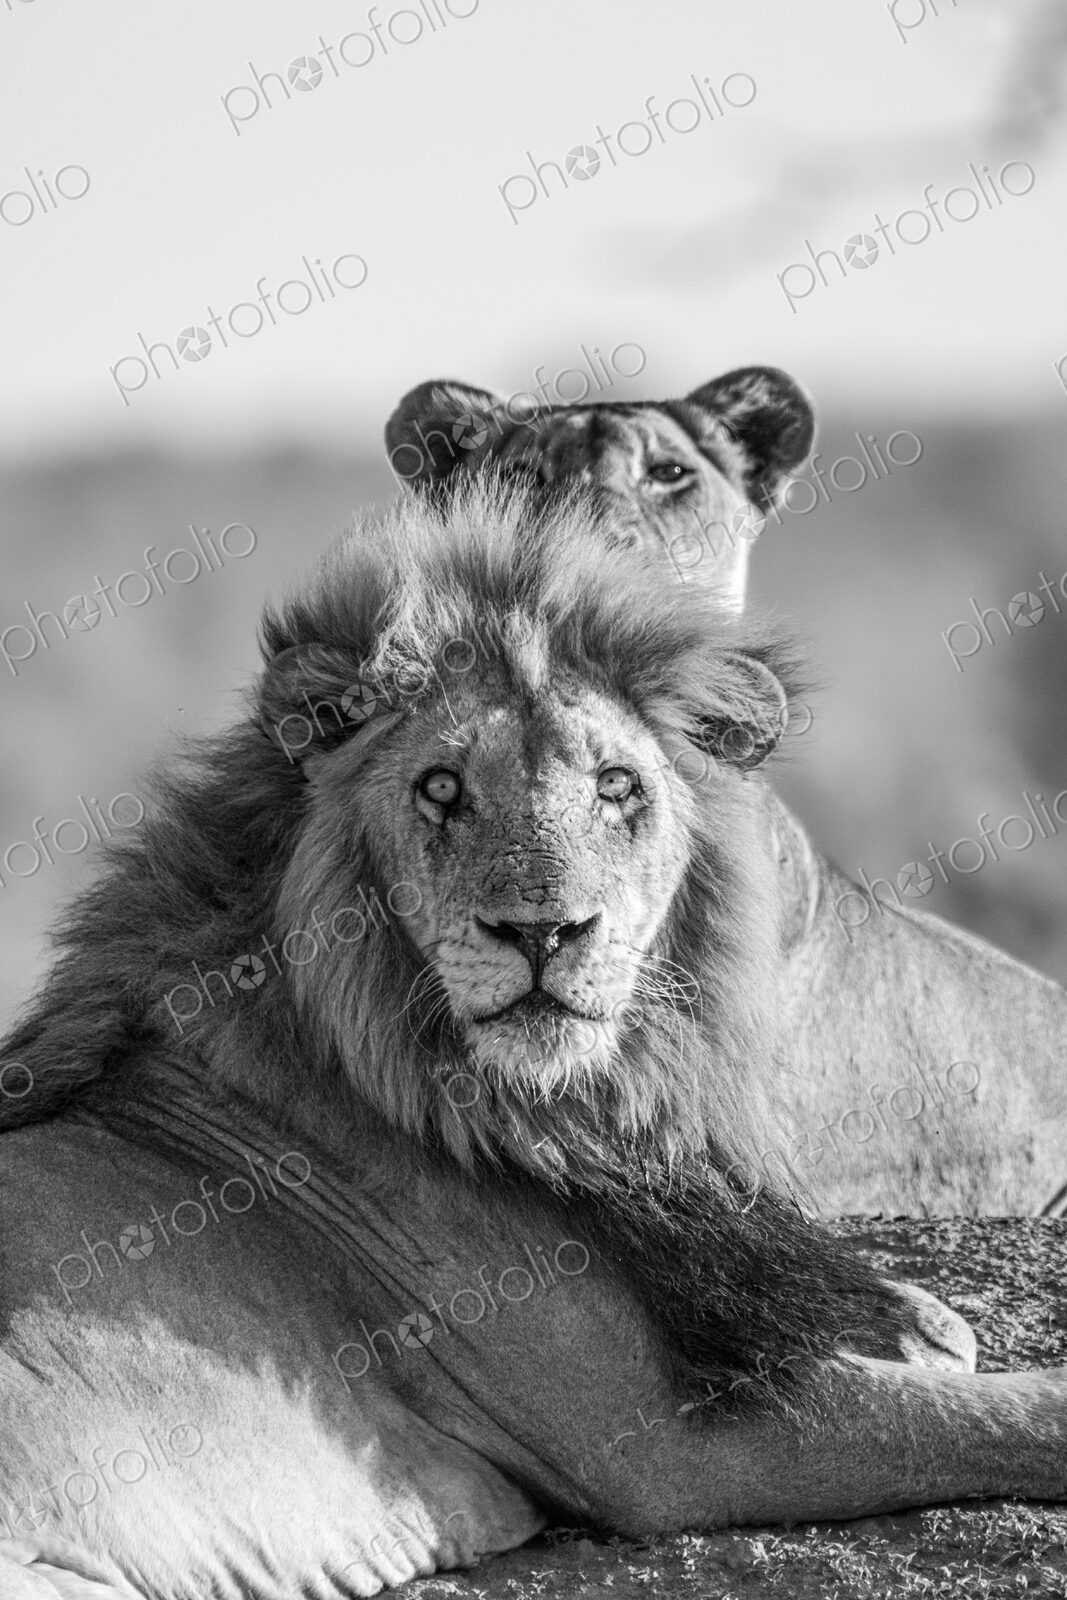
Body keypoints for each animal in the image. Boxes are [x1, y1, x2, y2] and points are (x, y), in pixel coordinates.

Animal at [0, 479, 1063, 1599]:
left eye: (614, 785)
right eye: (439, 788)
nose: (543, 931)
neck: (568, 1114)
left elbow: (928, 1334)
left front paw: (925, 1327)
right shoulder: (665, 1443)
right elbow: (1005, 1414)